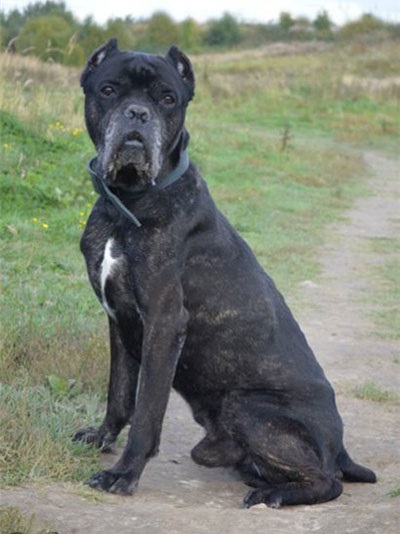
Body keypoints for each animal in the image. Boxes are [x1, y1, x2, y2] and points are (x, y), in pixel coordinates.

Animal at [73, 39, 376, 508]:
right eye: (108, 89)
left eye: (167, 99)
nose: (137, 114)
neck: (128, 201)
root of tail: (340, 447)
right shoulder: (118, 320)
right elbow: (119, 394)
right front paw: (102, 438)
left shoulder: (163, 324)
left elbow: (147, 412)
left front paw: (122, 473)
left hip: (248, 407)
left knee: (330, 482)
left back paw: (273, 494)